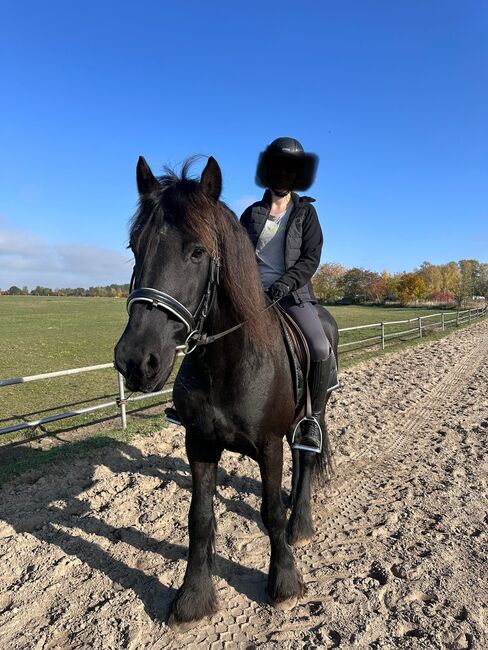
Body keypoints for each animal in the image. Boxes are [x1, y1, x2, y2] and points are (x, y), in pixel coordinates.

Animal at [115, 156, 338, 628]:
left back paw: (300, 524)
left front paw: (284, 582)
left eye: (198, 252)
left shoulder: (269, 445)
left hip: (317, 409)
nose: (136, 362)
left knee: (307, 458)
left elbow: (270, 512)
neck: (228, 363)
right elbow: (199, 517)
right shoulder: (199, 442)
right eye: (134, 247)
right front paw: (193, 598)